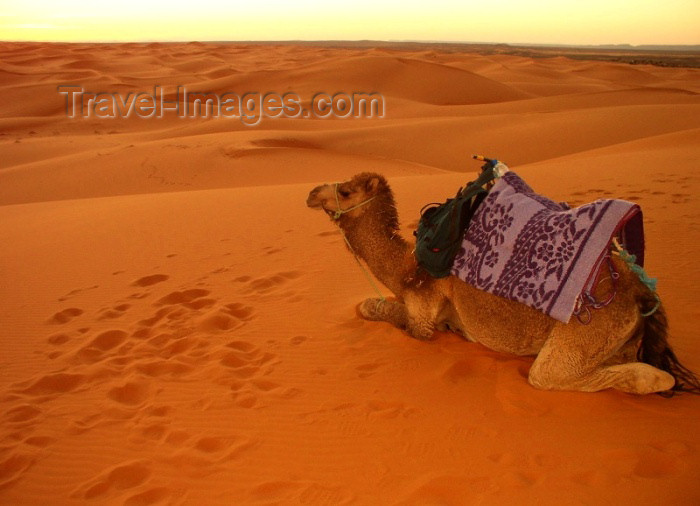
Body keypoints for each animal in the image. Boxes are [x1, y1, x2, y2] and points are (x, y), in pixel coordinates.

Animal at [308, 173, 700, 396]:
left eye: (346, 191)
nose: (311, 193)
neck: (408, 265)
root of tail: (641, 292)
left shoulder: (423, 312)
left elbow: (376, 309)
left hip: (589, 328)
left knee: (549, 375)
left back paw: (651, 379)